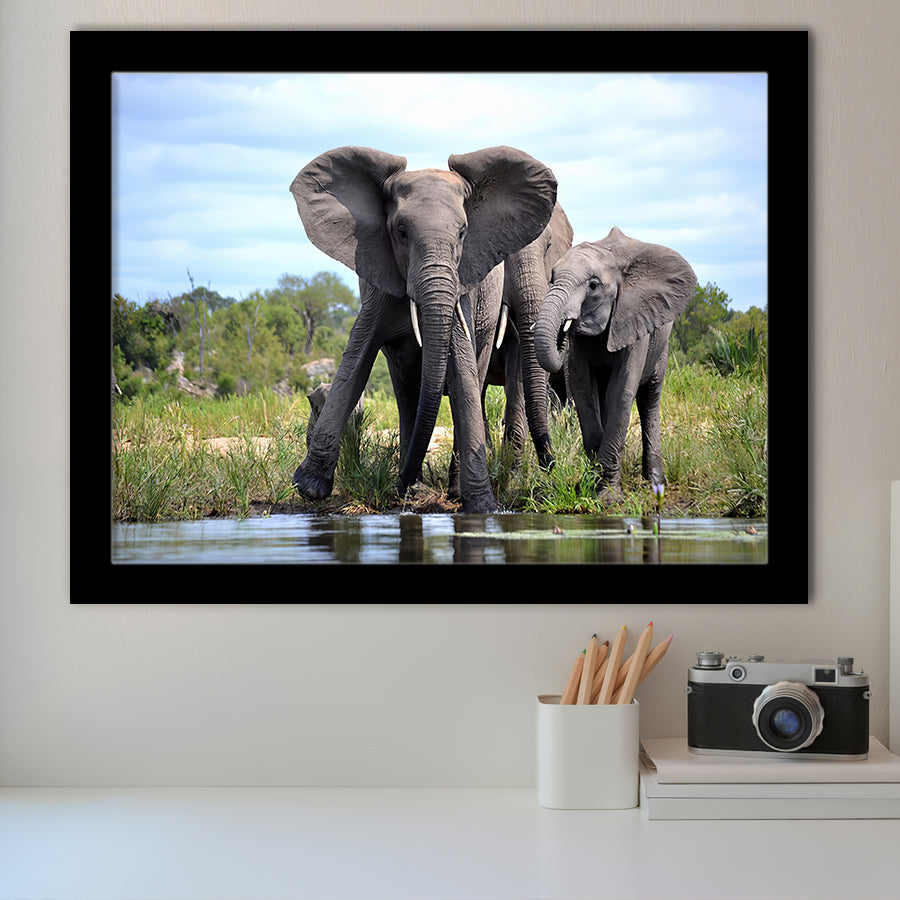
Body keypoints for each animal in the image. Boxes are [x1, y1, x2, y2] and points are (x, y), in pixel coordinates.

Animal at [289, 145, 558, 513]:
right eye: (400, 231)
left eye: (462, 233)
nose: (552, 465)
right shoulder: (378, 284)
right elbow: (356, 359)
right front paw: (309, 487)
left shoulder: (460, 289)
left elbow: (461, 370)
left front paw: (483, 506)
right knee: (407, 392)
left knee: (473, 374)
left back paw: (447, 490)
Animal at [534, 227, 697, 493]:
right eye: (552, 278)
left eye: (593, 285)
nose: (562, 330)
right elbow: (582, 388)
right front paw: (592, 480)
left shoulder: (633, 317)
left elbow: (622, 390)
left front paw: (607, 494)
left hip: (661, 341)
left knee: (650, 397)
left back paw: (655, 482)